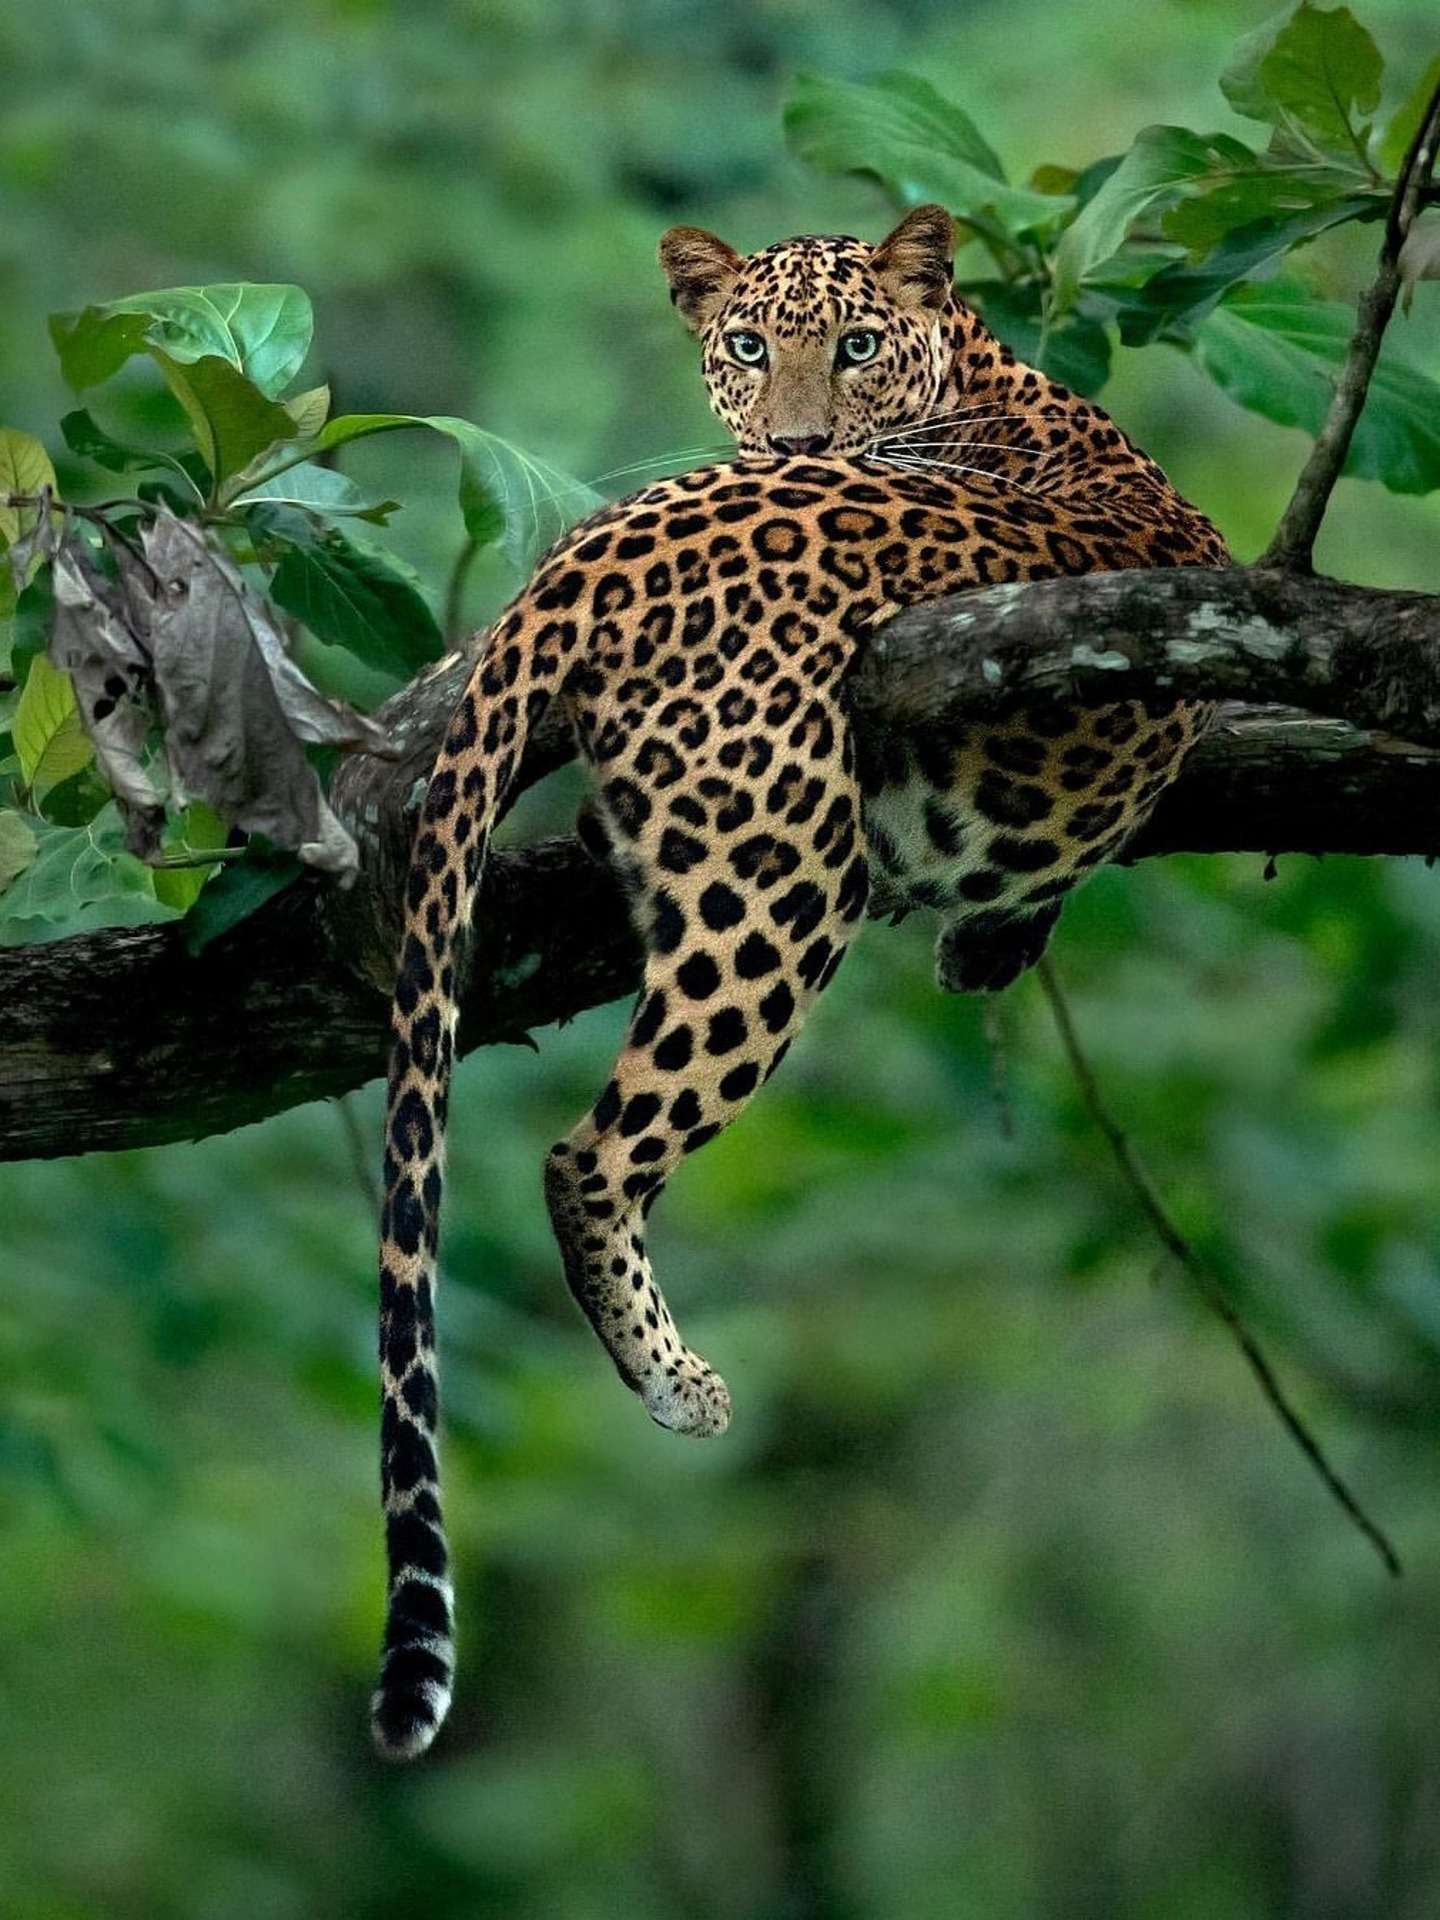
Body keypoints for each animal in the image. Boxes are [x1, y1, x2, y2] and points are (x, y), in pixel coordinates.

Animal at [369, 203, 1229, 1760]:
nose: (796, 440)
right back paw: (675, 1379)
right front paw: (1001, 928)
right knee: (592, 1153)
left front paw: (993, 937)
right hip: (775, 880)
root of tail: (595, 548)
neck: (988, 381)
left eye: (860, 344)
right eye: (748, 348)